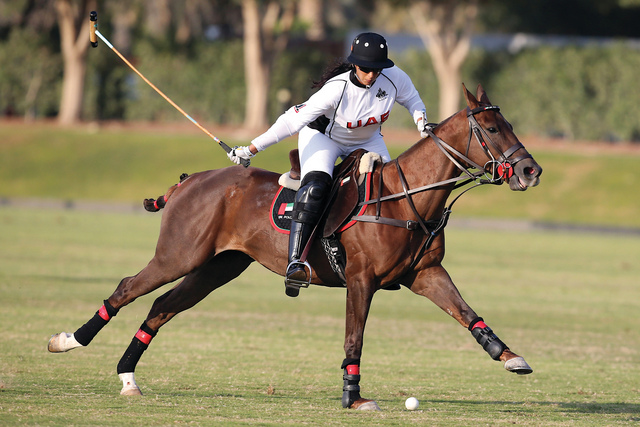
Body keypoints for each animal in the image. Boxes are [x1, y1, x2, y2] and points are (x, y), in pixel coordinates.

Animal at [47, 86, 544, 412]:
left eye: (510, 124)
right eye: (493, 128)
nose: (530, 171)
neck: (406, 198)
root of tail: (190, 180)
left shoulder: (425, 274)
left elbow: (467, 313)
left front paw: (510, 357)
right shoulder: (361, 279)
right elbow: (354, 336)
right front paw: (353, 397)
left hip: (219, 267)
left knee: (162, 306)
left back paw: (128, 378)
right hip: (178, 255)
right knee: (127, 288)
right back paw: (68, 341)